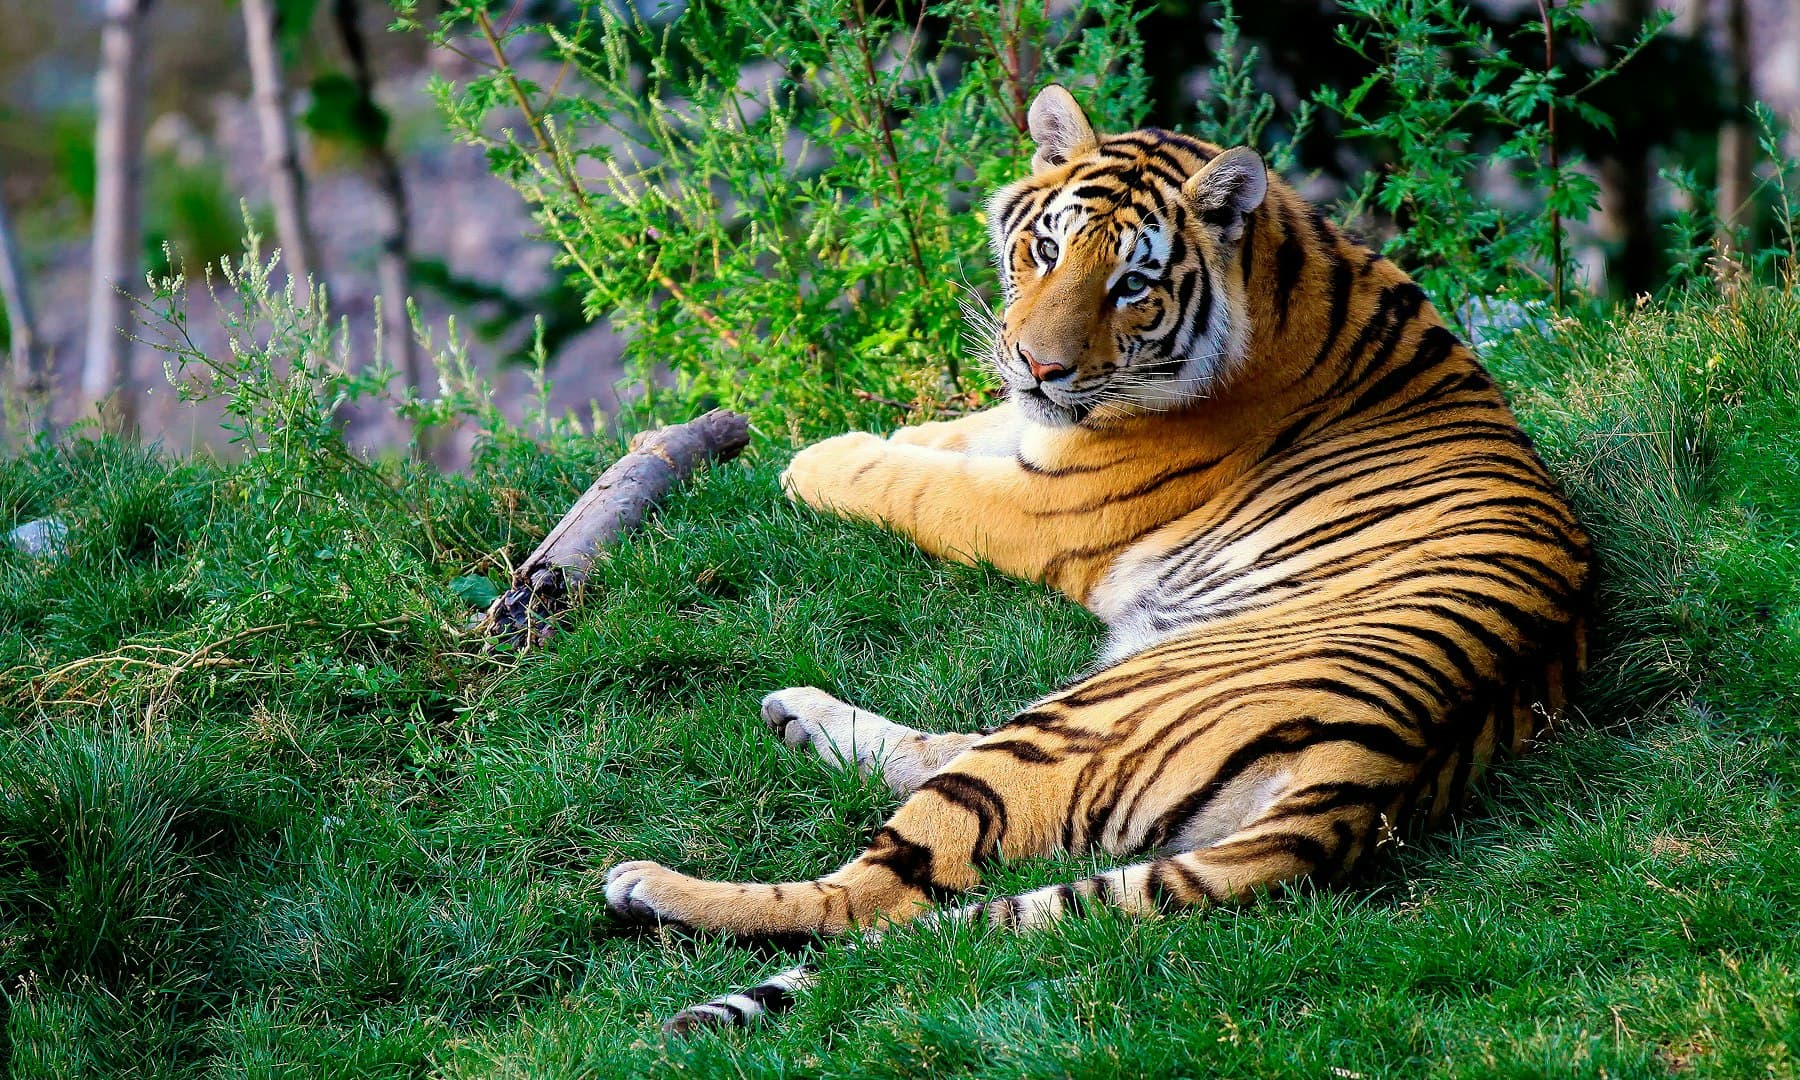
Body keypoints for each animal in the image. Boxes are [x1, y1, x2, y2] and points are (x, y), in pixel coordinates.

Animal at [603, 84, 1593, 1035]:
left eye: (1132, 285)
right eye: (1044, 249)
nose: (1039, 366)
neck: (1284, 273)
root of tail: (1373, 779)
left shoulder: (1042, 505)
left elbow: (915, 483)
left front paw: (818, 459)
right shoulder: (1036, 435)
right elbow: (961, 431)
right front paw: (897, 430)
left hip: (1086, 716)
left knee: (876, 893)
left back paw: (653, 886)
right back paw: (798, 717)